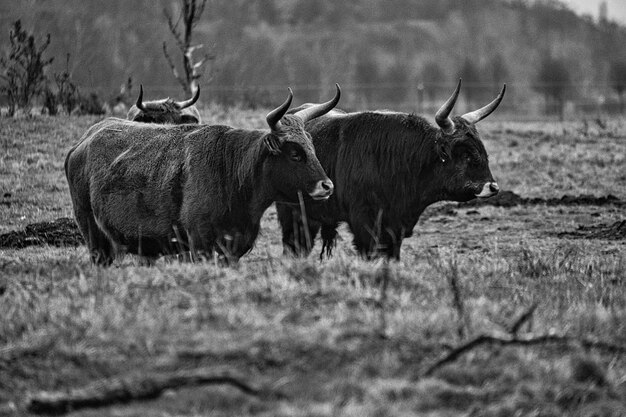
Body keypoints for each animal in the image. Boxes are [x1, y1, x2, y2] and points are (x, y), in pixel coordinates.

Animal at [65, 86, 338, 264]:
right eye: (294, 153)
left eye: (311, 147)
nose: (327, 186)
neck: (230, 171)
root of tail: (85, 140)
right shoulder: (200, 245)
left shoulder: (233, 249)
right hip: (95, 239)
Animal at [276, 79, 502, 258]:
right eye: (466, 155)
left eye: (482, 151)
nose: (493, 187)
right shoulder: (365, 225)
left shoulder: (395, 230)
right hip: (292, 214)